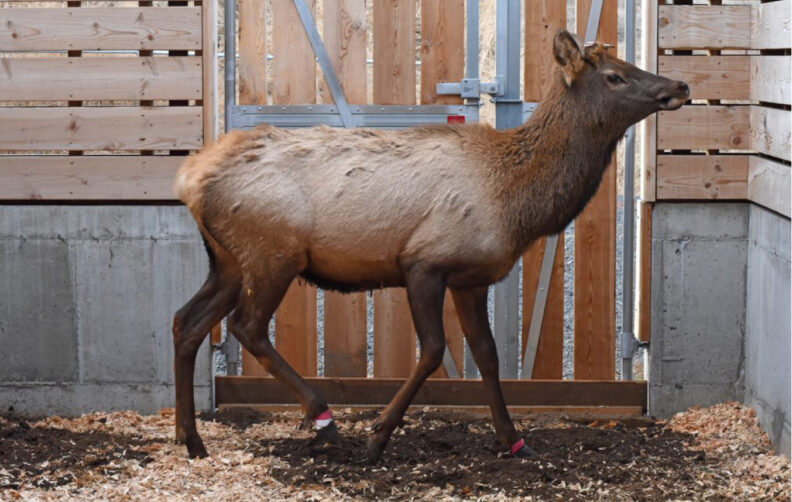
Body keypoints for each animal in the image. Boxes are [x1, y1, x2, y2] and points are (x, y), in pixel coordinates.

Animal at [171, 29, 689, 462]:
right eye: (615, 75)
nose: (681, 85)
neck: (516, 204)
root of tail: (189, 180)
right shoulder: (423, 263)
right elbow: (435, 351)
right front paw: (377, 436)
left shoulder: (471, 279)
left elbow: (487, 354)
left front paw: (513, 438)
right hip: (273, 252)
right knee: (247, 326)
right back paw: (323, 417)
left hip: (229, 262)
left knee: (186, 322)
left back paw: (190, 438)